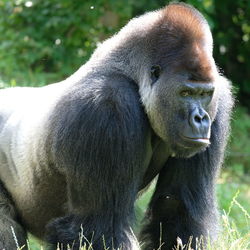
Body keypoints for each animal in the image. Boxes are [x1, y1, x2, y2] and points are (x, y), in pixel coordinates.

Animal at [0, 2, 232, 250]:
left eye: (204, 94)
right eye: (186, 93)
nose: (200, 118)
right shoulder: (108, 107)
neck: (132, 75)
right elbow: (99, 227)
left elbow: (177, 208)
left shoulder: (218, 101)